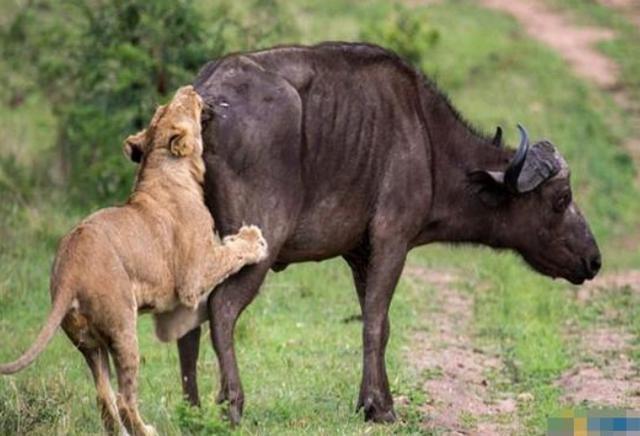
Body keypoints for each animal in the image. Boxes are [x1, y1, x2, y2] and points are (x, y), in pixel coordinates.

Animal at [0, 86, 266, 436]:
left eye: (161, 108)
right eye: (177, 106)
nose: (189, 89)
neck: (166, 170)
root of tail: (69, 269)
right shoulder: (192, 278)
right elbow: (229, 255)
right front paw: (254, 240)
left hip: (88, 343)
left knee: (104, 397)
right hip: (123, 327)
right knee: (125, 398)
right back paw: (147, 430)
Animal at [126, 42, 600, 424]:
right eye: (561, 199)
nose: (594, 260)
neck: (427, 140)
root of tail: (206, 102)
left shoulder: (359, 254)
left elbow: (381, 323)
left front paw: (373, 400)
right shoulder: (392, 239)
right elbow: (374, 322)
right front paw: (380, 407)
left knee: (190, 319)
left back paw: (193, 409)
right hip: (257, 243)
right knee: (222, 310)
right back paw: (233, 403)